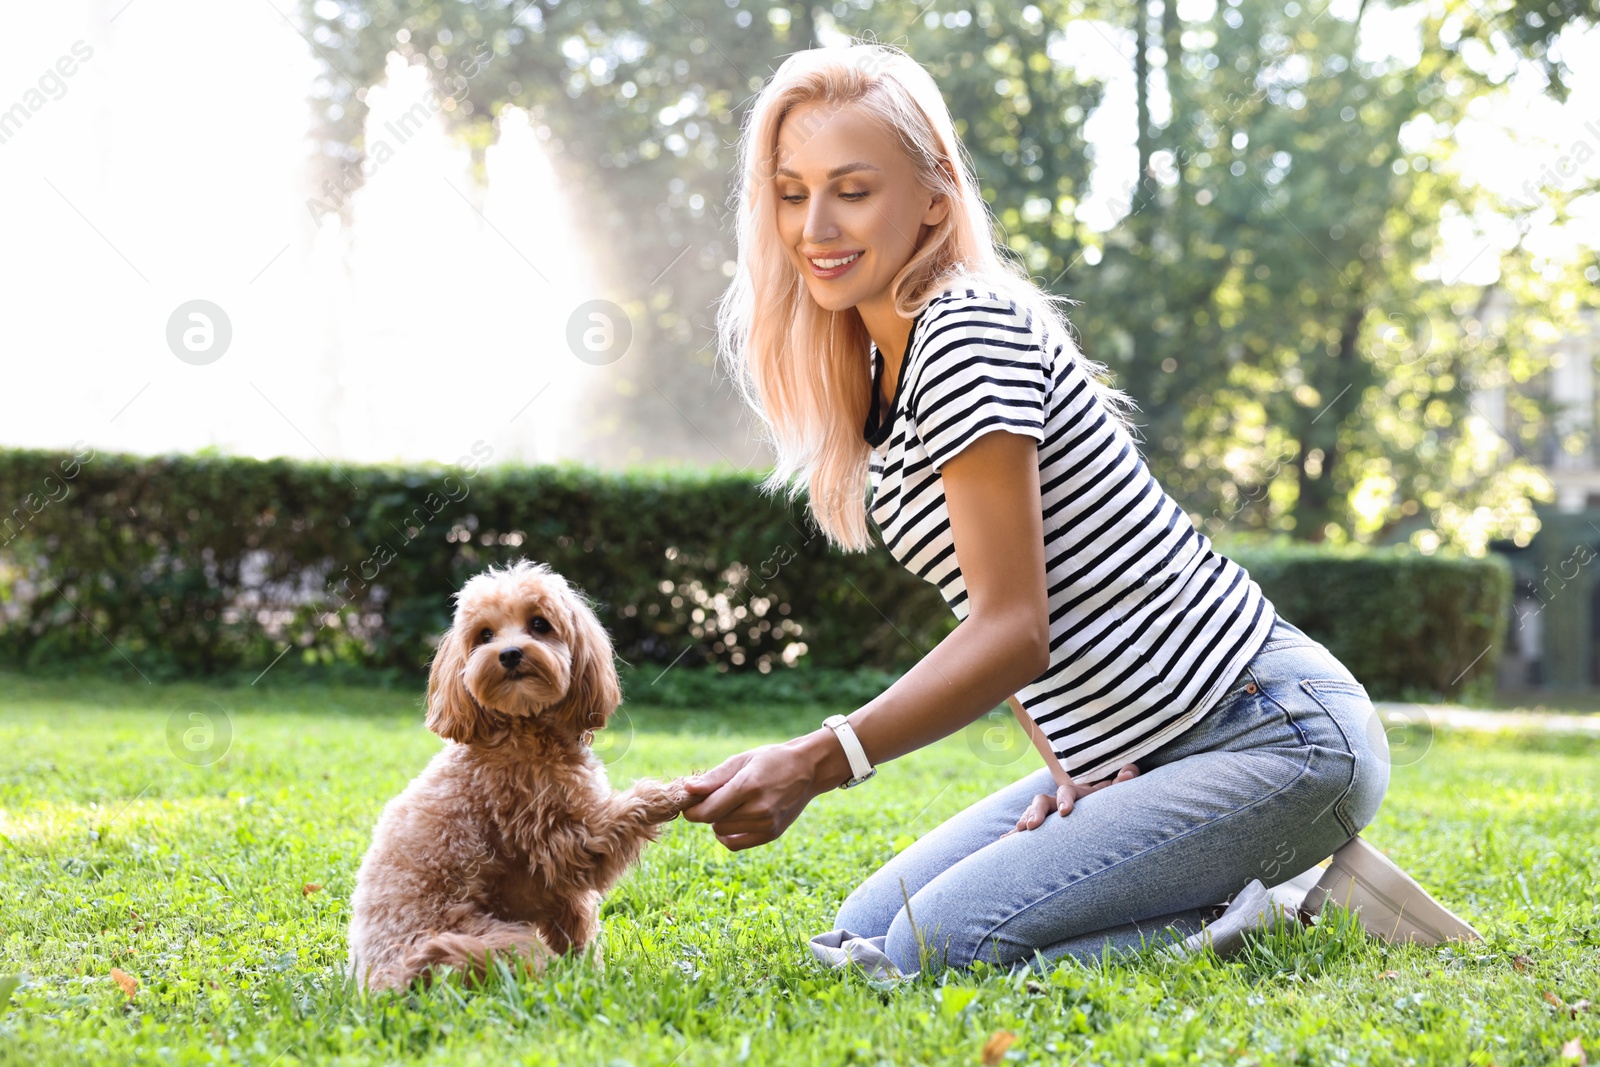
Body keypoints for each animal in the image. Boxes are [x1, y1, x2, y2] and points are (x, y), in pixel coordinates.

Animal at [347, 559, 691, 991]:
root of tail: (380, 979)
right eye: (485, 635)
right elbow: (620, 818)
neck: (523, 728)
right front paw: (671, 793)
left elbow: (578, 930)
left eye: (539, 624)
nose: (509, 654)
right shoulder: (562, 838)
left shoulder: (560, 892)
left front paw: (589, 977)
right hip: (485, 940)